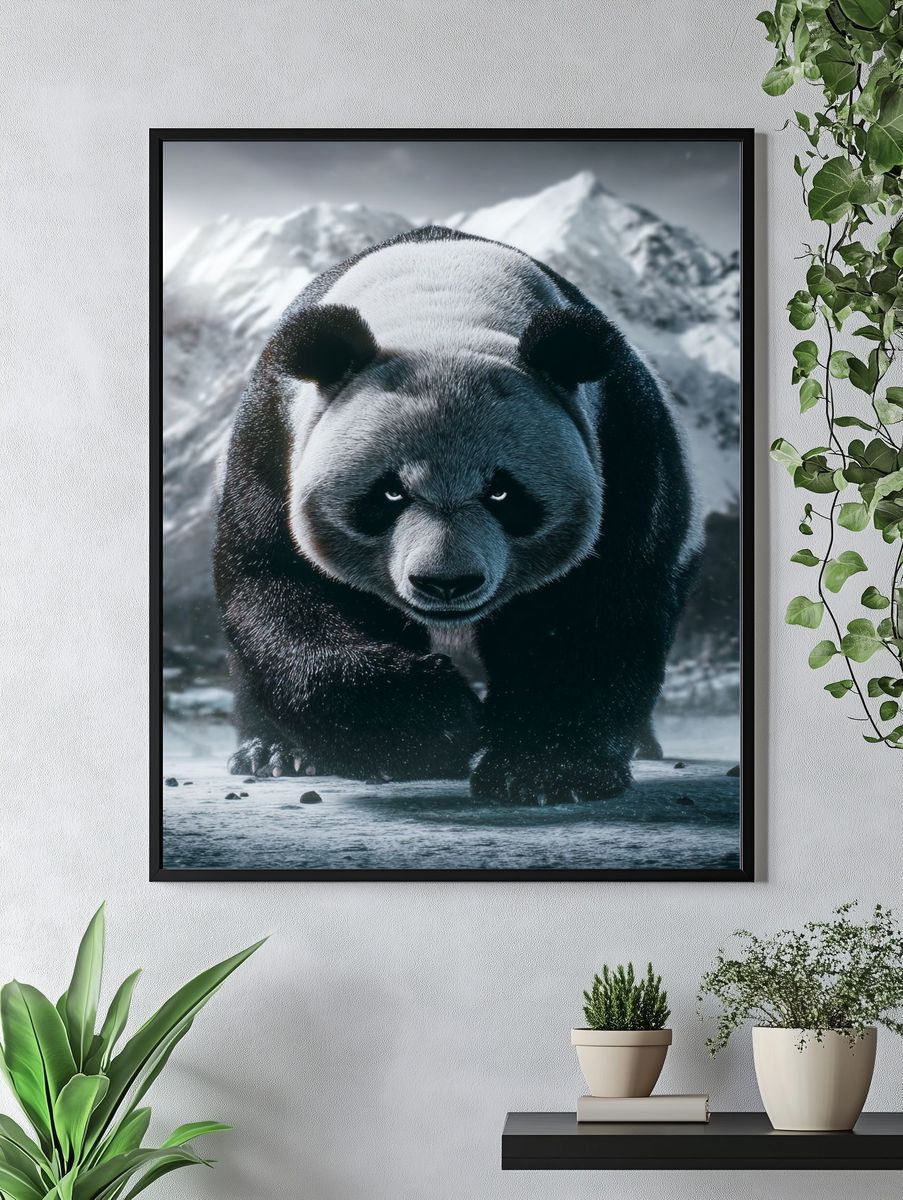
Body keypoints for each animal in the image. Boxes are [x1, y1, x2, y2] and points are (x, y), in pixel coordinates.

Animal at [213, 225, 700, 804]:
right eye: (389, 494)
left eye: (503, 494)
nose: (446, 583)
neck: (440, 306)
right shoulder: (275, 435)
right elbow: (281, 586)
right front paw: (432, 726)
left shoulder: (620, 437)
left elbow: (597, 605)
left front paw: (543, 769)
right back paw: (271, 751)